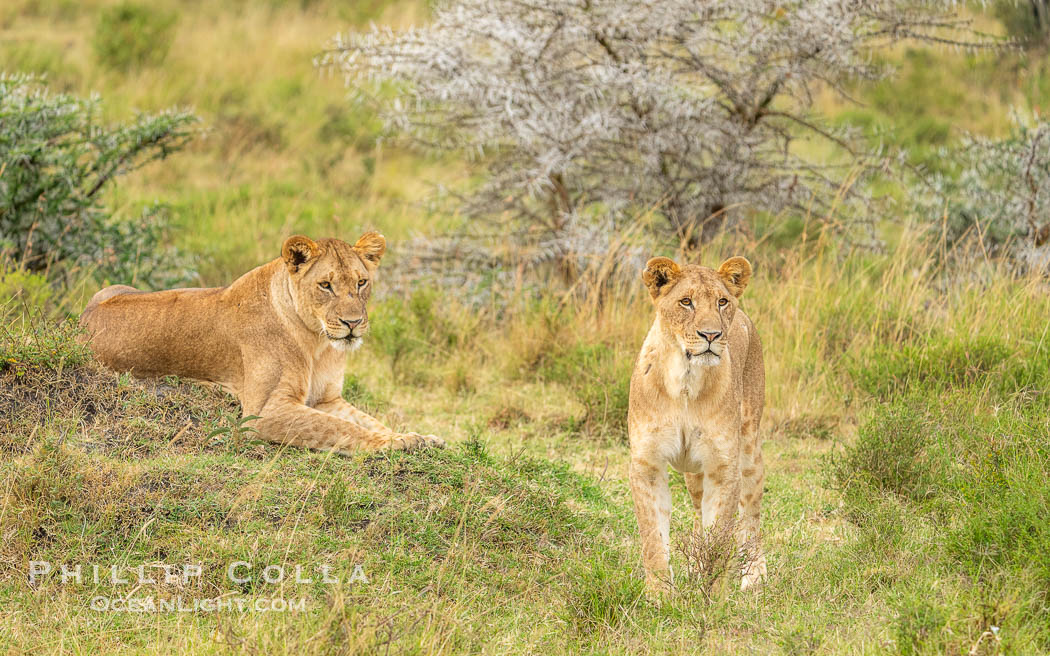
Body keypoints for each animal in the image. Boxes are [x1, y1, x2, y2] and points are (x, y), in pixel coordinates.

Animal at [79, 232, 444, 454]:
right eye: (325, 285)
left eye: (362, 282)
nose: (352, 323)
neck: (318, 344)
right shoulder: (265, 412)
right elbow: (341, 429)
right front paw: (396, 444)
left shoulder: (328, 399)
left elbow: (366, 420)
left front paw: (415, 436)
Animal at [628, 255, 766, 593]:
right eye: (686, 302)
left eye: (721, 302)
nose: (711, 335)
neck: (685, 381)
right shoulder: (647, 465)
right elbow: (653, 539)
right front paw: (660, 595)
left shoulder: (723, 467)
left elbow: (720, 537)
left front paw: (712, 595)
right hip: (694, 476)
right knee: (697, 511)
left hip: (749, 450)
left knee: (751, 515)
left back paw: (754, 575)